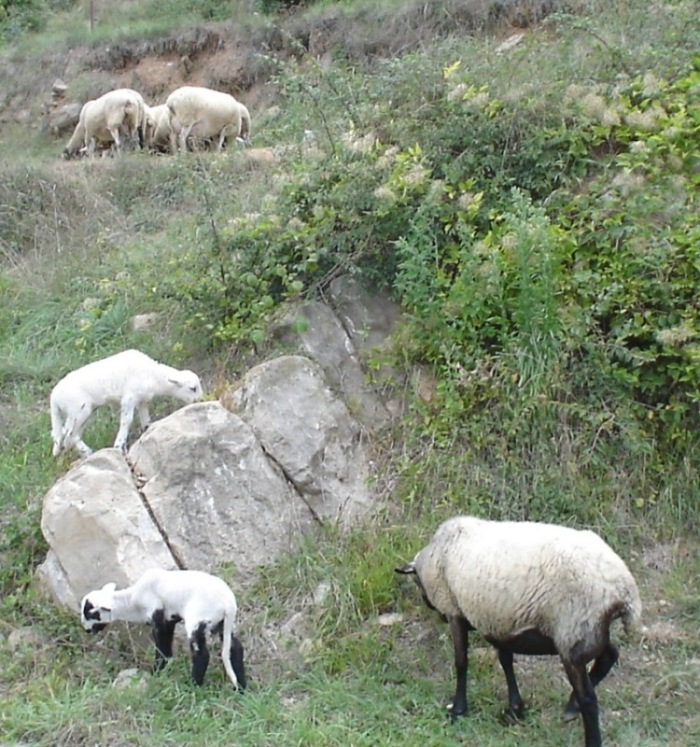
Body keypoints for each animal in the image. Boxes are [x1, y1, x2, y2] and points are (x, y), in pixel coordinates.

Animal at [48, 350, 202, 458]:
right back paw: (88, 452)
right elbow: (127, 420)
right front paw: (119, 446)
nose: (201, 400)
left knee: (63, 433)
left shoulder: (142, 399)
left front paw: (147, 430)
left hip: (75, 414)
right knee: (70, 436)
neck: (154, 376)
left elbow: (145, 418)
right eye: (192, 388)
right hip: (80, 410)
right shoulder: (129, 397)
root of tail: (54, 397)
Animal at [80, 568, 246, 688]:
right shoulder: (169, 620)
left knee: (202, 654)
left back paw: (193, 687)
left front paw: (157, 672)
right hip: (219, 623)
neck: (131, 601)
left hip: (197, 620)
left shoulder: (158, 617)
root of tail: (228, 604)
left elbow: (162, 649)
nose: (87, 630)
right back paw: (241, 687)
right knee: (235, 647)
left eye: (89, 614)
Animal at [396, 516, 644, 747]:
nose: (435, 612)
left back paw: (585, 726)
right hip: (587, 630)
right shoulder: (499, 623)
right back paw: (571, 706)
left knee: (589, 698)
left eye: (417, 583)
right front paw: (515, 708)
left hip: (572, 634)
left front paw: (458, 709)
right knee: (610, 654)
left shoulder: (454, 611)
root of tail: (624, 590)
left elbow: (461, 662)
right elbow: (506, 661)